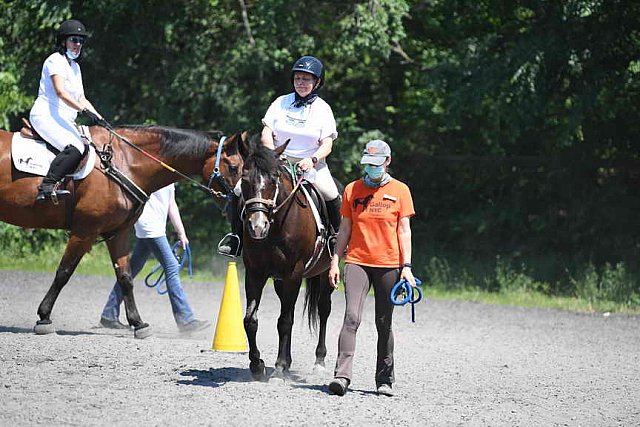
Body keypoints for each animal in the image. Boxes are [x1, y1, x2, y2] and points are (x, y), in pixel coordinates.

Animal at [0, 123, 246, 338]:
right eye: (233, 167)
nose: (240, 203)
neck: (123, 162)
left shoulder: (117, 233)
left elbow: (125, 277)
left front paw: (138, 323)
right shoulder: (84, 231)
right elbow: (64, 273)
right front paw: (44, 317)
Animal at [241, 142, 338, 382]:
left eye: (274, 179)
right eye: (244, 180)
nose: (257, 227)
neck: (277, 226)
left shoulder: (292, 274)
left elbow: (283, 322)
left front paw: (278, 368)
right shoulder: (255, 273)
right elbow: (250, 320)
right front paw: (257, 365)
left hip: (324, 274)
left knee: (323, 309)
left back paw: (318, 361)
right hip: (279, 281)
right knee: (291, 313)